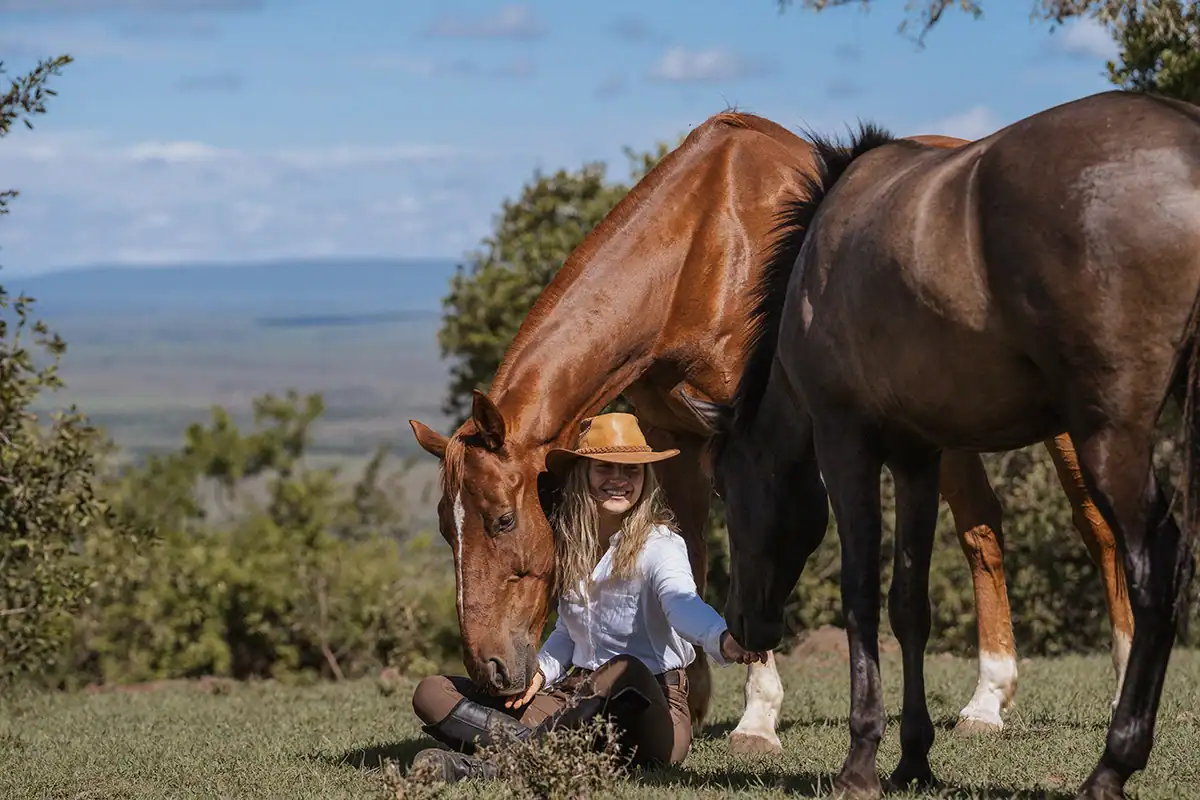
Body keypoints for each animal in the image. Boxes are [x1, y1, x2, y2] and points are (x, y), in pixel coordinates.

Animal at [407, 108, 1131, 755]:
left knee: (1096, 527)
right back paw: (987, 701)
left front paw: (758, 716)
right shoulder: (677, 439)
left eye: (502, 520)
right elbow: (691, 558)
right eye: (447, 528)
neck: (703, 246)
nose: (490, 672)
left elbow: (759, 546)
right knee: (983, 528)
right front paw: (694, 696)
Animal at [707, 89, 1200, 799]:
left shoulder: (846, 443)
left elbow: (860, 594)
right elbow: (909, 605)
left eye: (725, 489)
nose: (739, 632)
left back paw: (1112, 766)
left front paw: (860, 761)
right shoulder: (918, 456)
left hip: (1111, 437)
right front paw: (914, 758)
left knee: (1154, 566)